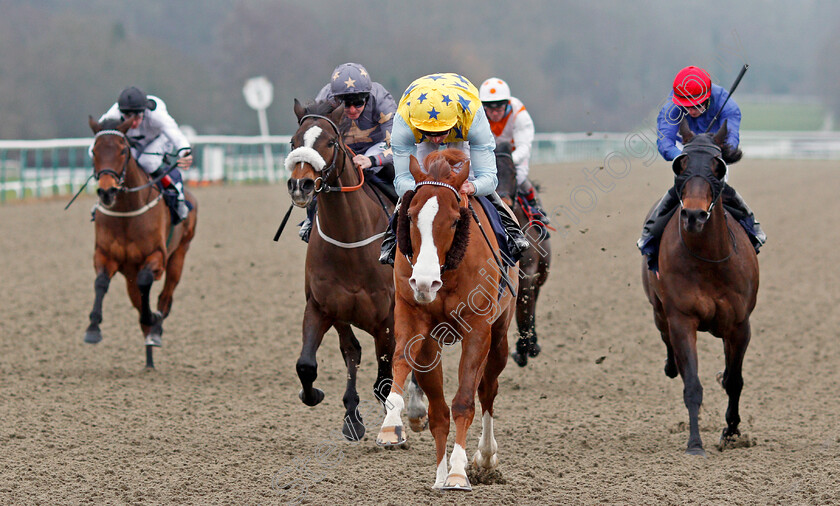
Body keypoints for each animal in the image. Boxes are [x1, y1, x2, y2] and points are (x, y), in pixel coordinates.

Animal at [85, 115, 199, 368]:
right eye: (94, 151)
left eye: (122, 150)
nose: (107, 192)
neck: (127, 211)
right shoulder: (105, 255)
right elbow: (100, 283)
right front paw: (93, 328)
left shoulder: (157, 256)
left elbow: (147, 283)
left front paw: (153, 320)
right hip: (130, 271)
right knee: (139, 300)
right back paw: (149, 354)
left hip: (180, 254)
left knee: (165, 297)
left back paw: (154, 330)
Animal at [288, 101, 396, 440]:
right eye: (293, 142)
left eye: (330, 142)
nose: (300, 185)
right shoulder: (322, 306)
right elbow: (308, 364)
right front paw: (320, 397)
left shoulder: (388, 317)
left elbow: (385, 379)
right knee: (353, 351)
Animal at [376, 149, 520, 490]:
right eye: (410, 216)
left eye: (455, 220)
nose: (425, 282)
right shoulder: (415, 320)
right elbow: (404, 363)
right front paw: (391, 425)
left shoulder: (478, 329)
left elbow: (465, 401)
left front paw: (457, 472)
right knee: (440, 409)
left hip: (499, 336)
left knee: (488, 390)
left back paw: (484, 458)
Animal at [644, 120, 760, 456]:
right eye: (680, 164)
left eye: (717, 166)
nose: (694, 215)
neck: (708, 259)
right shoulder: (682, 319)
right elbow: (692, 385)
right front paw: (695, 444)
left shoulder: (740, 324)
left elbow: (734, 380)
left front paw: (731, 432)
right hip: (659, 310)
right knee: (669, 346)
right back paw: (671, 365)